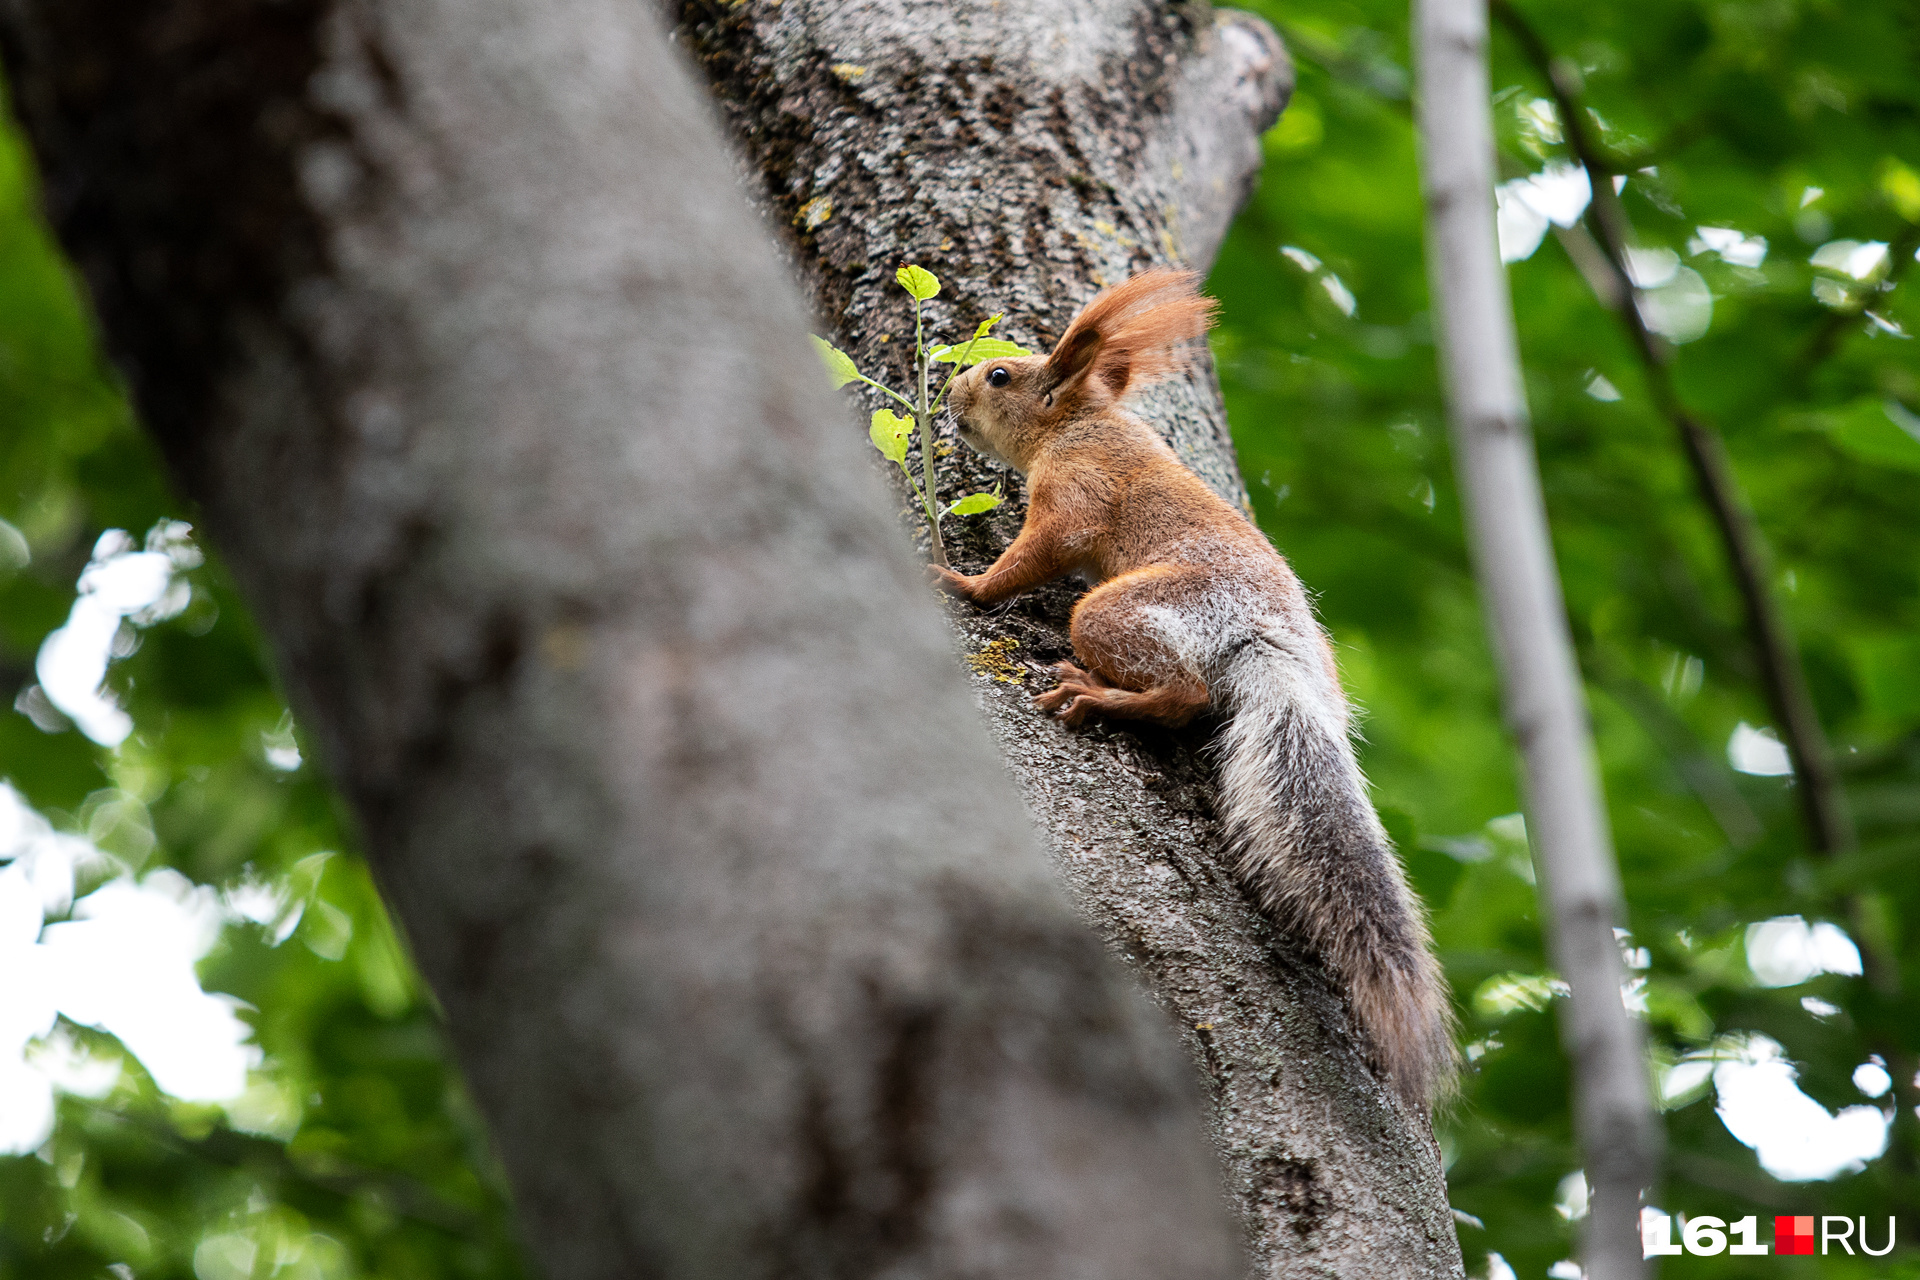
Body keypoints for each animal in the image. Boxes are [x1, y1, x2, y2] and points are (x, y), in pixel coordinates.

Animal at [929, 268, 1451, 1113]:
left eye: (1000, 375)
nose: (950, 391)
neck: (1079, 422)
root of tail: (1278, 652)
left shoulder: (1079, 487)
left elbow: (1039, 551)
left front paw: (966, 584)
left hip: (1125, 609)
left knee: (1183, 695)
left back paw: (1100, 695)